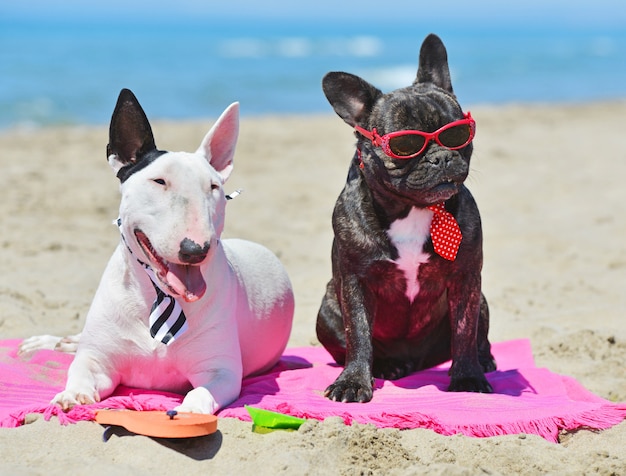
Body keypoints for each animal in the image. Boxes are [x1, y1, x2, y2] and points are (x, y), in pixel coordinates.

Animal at [18, 88, 292, 412]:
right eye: (159, 180)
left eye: (213, 187)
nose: (195, 250)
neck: (157, 295)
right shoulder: (98, 359)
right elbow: (81, 370)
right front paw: (72, 394)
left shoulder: (220, 369)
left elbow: (200, 392)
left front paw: (189, 411)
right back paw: (50, 342)